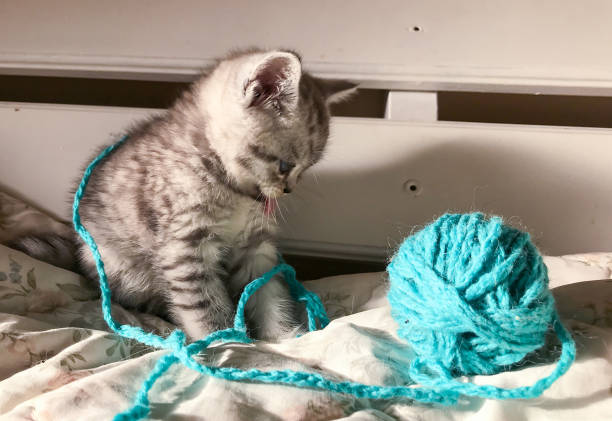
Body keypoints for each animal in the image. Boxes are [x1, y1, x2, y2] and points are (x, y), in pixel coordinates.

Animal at [9, 49, 356, 340]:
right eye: (286, 166)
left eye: (307, 168)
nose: (287, 189)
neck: (231, 189)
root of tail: (79, 249)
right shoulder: (185, 248)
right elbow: (203, 305)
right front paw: (224, 341)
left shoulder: (256, 248)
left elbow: (268, 293)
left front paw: (282, 337)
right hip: (126, 270)